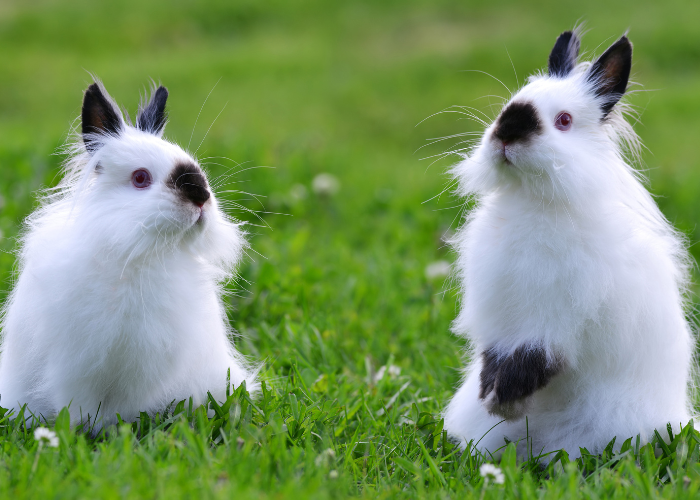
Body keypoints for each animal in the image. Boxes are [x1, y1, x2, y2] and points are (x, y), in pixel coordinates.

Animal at [0, 80, 258, 428]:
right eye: (140, 178)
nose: (201, 196)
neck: (140, 253)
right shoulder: (75, 365)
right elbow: (80, 407)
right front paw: (85, 431)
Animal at [442, 30, 696, 460]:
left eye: (563, 121)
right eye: (511, 101)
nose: (506, 133)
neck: (535, 201)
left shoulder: (555, 320)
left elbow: (538, 358)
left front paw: (503, 402)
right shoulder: (500, 317)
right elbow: (496, 356)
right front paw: (493, 399)